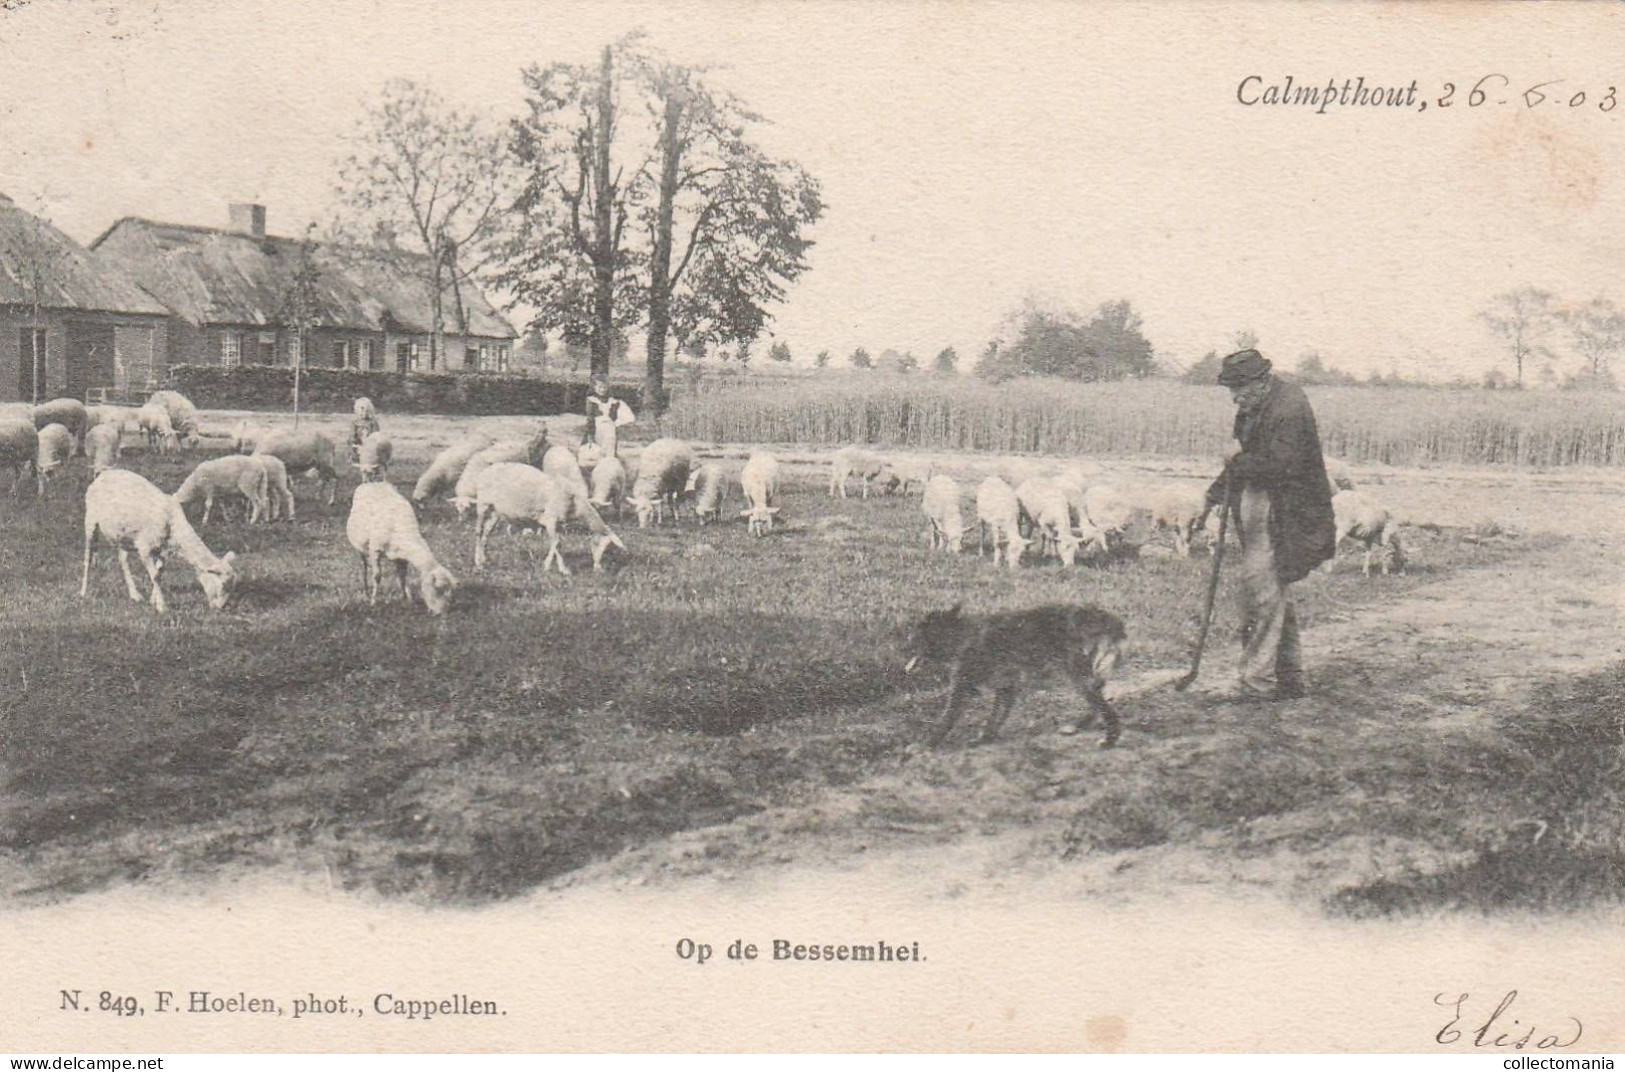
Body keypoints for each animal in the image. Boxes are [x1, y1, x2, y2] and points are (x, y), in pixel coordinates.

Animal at [80, 467, 237, 610]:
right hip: (90, 520)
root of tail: (103, 474)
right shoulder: (144, 547)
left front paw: (153, 600)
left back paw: (135, 595)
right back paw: (83, 591)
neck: (172, 522)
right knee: (87, 557)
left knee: (123, 560)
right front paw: (162, 606)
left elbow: (159, 572)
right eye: (223, 585)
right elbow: (155, 575)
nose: (221, 608)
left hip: (122, 534)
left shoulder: (163, 549)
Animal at [347, 480, 458, 613]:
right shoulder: (375, 549)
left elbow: (402, 577)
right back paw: (366, 592)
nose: (441, 613)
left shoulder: (401, 556)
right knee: (364, 567)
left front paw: (405, 599)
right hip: (360, 547)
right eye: (438, 589)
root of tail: (372, 482)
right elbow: (377, 576)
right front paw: (373, 602)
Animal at [474, 461, 627, 574]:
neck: (575, 503)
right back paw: (477, 562)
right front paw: (556, 568)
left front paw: (555, 567)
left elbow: (557, 543)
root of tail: (484, 471)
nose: (598, 568)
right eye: (598, 544)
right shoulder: (550, 519)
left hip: (495, 512)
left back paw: (484, 559)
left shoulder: (557, 523)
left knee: (486, 533)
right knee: (479, 531)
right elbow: (556, 543)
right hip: (483, 504)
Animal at [903, 607, 1131, 750]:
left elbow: (947, 719)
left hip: (1077, 676)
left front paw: (926, 745)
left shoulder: (962, 687)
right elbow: (996, 715)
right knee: (1099, 697)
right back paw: (1081, 725)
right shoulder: (1006, 686)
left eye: (919, 632)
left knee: (1104, 707)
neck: (964, 636)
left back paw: (1109, 739)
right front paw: (986, 737)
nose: (906, 642)